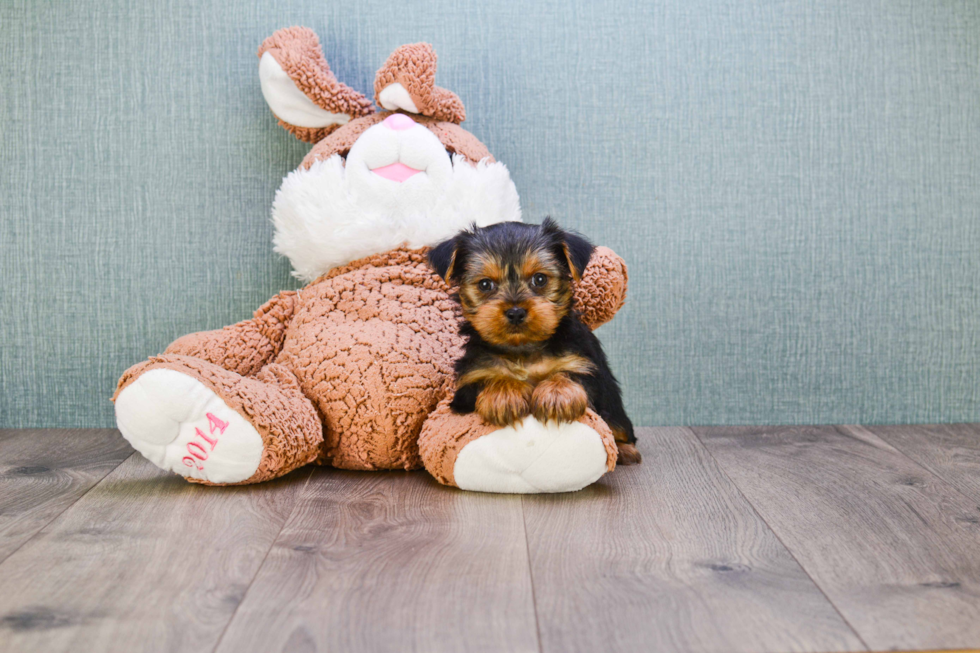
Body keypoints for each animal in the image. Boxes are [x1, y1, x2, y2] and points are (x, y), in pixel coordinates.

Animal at [428, 219, 644, 464]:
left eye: (540, 279)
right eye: (485, 285)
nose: (515, 312)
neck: (523, 349)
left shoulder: (586, 368)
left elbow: (571, 375)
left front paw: (557, 395)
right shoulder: (467, 385)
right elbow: (490, 379)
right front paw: (504, 393)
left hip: (614, 409)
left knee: (620, 428)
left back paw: (625, 450)